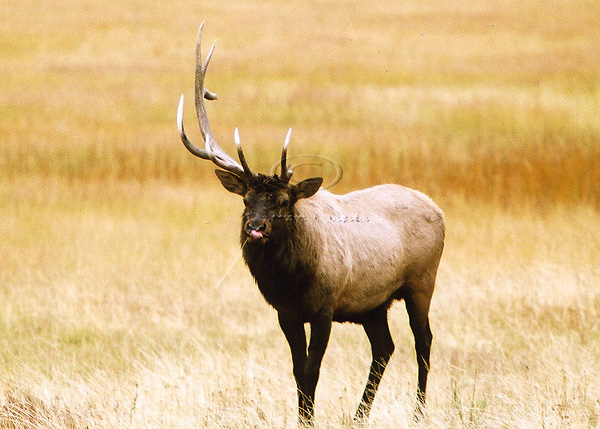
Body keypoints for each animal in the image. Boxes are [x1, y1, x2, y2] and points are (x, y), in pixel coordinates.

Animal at [176, 23, 442, 424]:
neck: (292, 282)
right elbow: (297, 370)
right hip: (373, 304)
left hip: (421, 281)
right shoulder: (286, 313)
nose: (256, 228)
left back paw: (418, 413)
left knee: (422, 341)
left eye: (284, 202)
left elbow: (312, 370)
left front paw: (308, 418)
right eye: (246, 200)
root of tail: (438, 209)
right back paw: (358, 415)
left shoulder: (325, 307)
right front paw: (303, 417)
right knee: (385, 347)